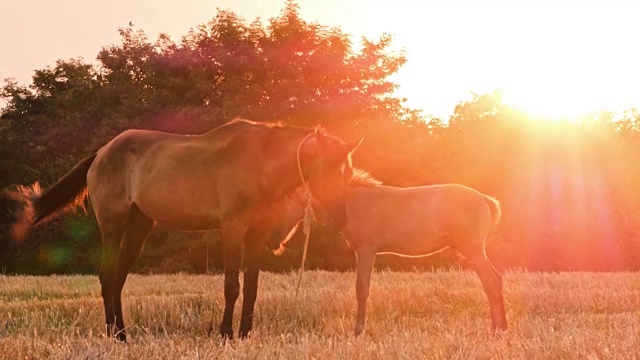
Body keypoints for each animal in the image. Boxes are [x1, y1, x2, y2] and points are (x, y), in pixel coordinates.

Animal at [5, 119, 358, 342]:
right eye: (326, 168)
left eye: (347, 171)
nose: (338, 220)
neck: (260, 164)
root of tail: (101, 152)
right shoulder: (232, 229)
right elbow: (232, 287)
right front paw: (226, 334)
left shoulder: (256, 235)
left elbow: (252, 289)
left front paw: (245, 334)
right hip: (113, 226)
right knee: (107, 277)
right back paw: (113, 335)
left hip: (140, 227)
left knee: (118, 279)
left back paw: (123, 334)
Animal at [270, 170, 504, 336]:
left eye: (285, 198)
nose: (274, 239)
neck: (351, 203)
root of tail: (484, 198)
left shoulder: (365, 251)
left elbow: (361, 289)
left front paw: (358, 330)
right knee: (496, 279)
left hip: (473, 249)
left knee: (491, 280)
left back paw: (497, 329)